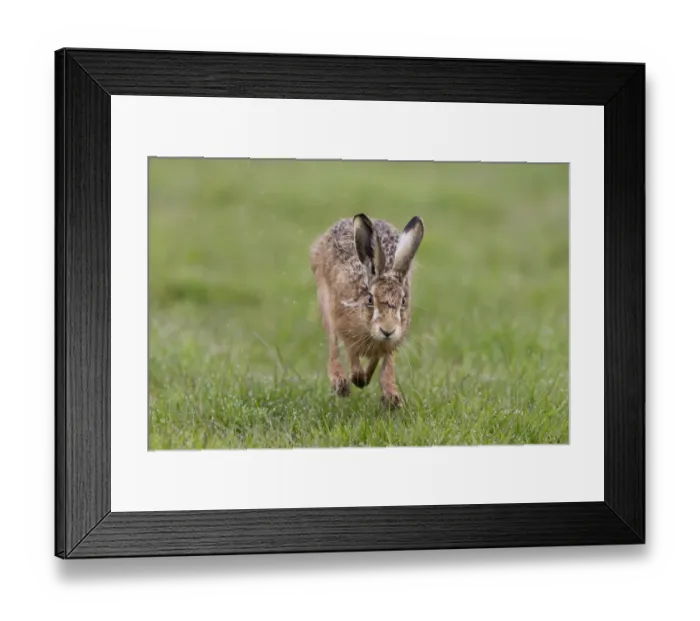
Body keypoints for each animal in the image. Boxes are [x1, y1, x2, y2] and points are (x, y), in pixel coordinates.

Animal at [310, 213, 424, 409]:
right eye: (370, 299)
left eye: (403, 301)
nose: (388, 330)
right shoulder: (346, 329)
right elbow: (352, 354)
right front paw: (357, 379)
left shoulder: (390, 344)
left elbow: (384, 363)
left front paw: (391, 397)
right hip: (325, 300)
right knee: (333, 345)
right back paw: (341, 383)